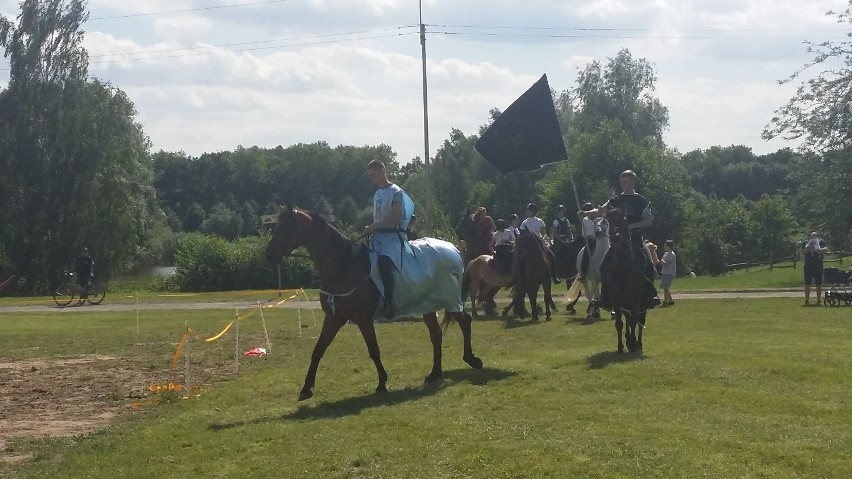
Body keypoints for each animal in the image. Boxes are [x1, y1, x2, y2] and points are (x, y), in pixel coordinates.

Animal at [262, 206, 482, 402]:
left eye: (286, 227)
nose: (269, 254)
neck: (344, 265)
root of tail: (454, 249)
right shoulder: (334, 318)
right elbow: (318, 350)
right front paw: (306, 388)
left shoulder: (363, 319)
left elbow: (373, 350)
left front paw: (382, 383)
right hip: (427, 305)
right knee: (436, 334)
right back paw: (435, 373)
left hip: (450, 300)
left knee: (465, 322)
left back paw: (472, 359)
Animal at [604, 208, 644, 354]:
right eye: (608, 221)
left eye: (622, 219)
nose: (614, 236)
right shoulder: (616, 298)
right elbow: (620, 323)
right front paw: (621, 345)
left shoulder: (636, 298)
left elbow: (634, 321)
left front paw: (633, 344)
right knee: (627, 318)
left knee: (640, 320)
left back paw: (638, 343)